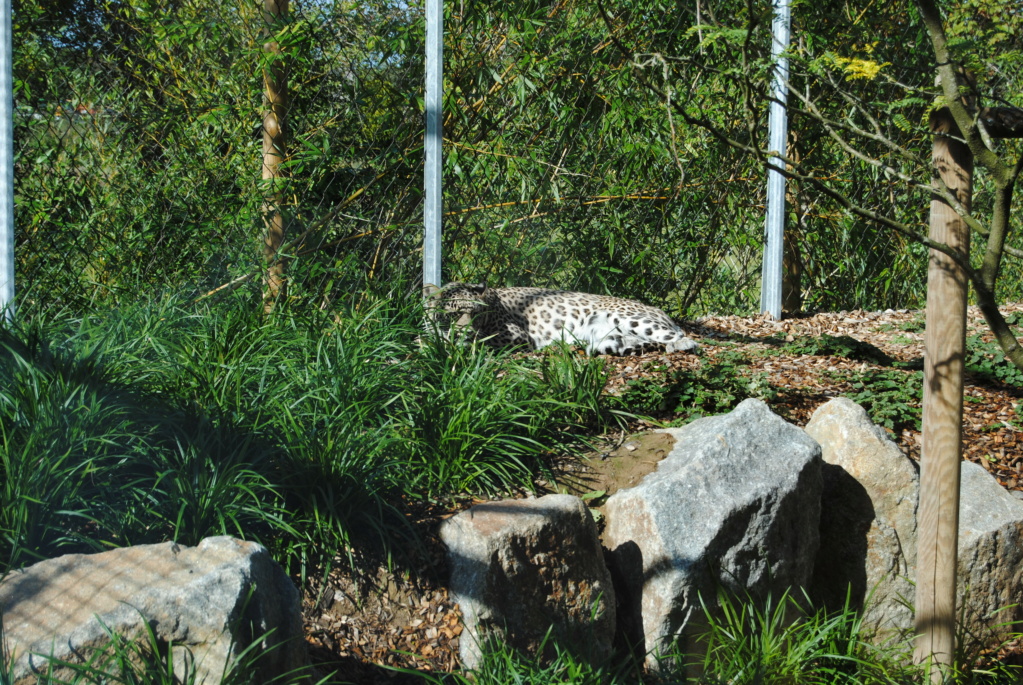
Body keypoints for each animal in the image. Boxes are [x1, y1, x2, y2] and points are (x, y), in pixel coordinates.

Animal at [425, 284, 703, 359]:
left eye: (477, 314)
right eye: (452, 315)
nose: (465, 330)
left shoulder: (517, 336)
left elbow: (484, 342)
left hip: (631, 318)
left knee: (681, 337)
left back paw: (680, 345)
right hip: (610, 340)